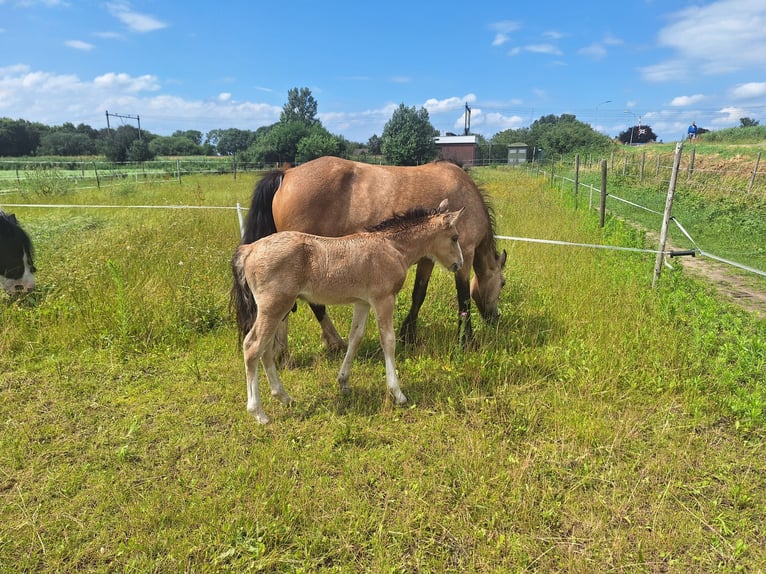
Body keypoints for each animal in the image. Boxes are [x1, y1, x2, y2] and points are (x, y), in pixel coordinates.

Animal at [231, 200, 464, 426]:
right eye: (454, 237)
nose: (459, 264)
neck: (392, 247)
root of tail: (249, 249)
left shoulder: (362, 303)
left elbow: (355, 337)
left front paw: (343, 382)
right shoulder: (383, 299)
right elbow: (388, 340)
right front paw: (397, 393)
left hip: (277, 309)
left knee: (266, 349)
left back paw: (284, 397)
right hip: (273, 307)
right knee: (253, 346)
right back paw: (258, 413)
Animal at [243, 156, 508, 352]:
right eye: (503, 283)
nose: (496, 319)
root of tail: (287, 174)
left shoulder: (428, 257)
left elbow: (418, 294)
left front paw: (408, 335)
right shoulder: (465, 254)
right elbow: (463, 297)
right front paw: (467, 340)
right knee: (304, 307)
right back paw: (322, 345)